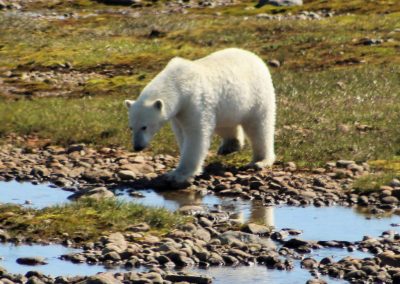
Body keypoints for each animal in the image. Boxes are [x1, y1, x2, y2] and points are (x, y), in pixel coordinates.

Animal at [125, 47, 276, 183]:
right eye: (131, 127)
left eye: (144, 127)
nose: (137, 147)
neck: (178, 83)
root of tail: (255, 57)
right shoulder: (179, 112)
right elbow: (181, 133)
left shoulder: (195, 101)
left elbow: (195, 134)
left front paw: (178, 175)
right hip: (226, 104)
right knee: (225, 123)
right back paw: (229, 146)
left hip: (257, 95)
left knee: (259, 127)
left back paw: (260, 161)